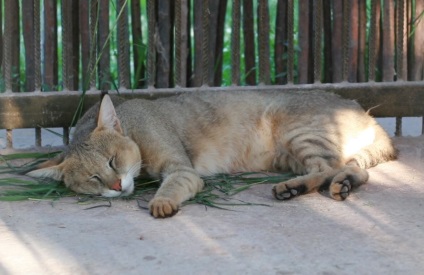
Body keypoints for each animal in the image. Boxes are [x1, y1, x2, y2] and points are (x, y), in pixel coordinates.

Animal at [26, 91, 398, 219]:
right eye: (93, 178)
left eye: (112, 161)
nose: (116, 186)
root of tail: (366, 112)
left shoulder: (182, 170)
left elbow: (171, 186)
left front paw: (161, 202)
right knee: (354, 170)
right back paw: (335, 185)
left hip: (300, 134)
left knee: (327, 166)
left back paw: (290, 187)